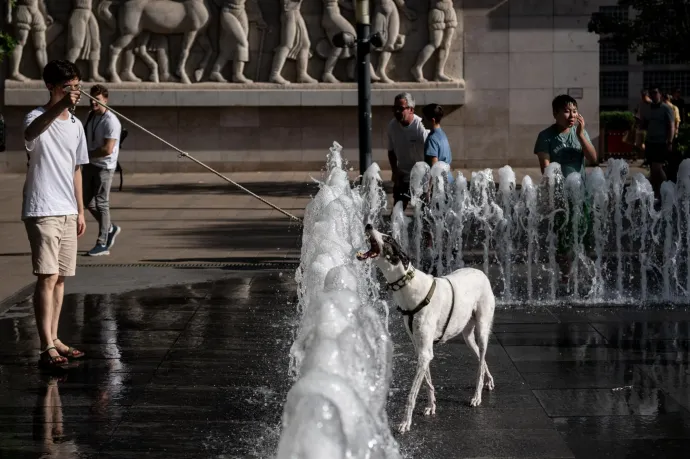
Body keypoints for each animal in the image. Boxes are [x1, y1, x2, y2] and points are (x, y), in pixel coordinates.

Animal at [354, 225, 494, 434]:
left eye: (388, 238)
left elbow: (412, 393)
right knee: (481, 360)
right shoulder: (420, 348)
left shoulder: (425, 352)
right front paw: (431, 405)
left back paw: (477, 396)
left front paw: (405, 422)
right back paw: (489, 381)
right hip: (468, 336)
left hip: (482, 330)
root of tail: (481, 272)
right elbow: (427, 381)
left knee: (481, 362)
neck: (409, 286)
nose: (369, 225)